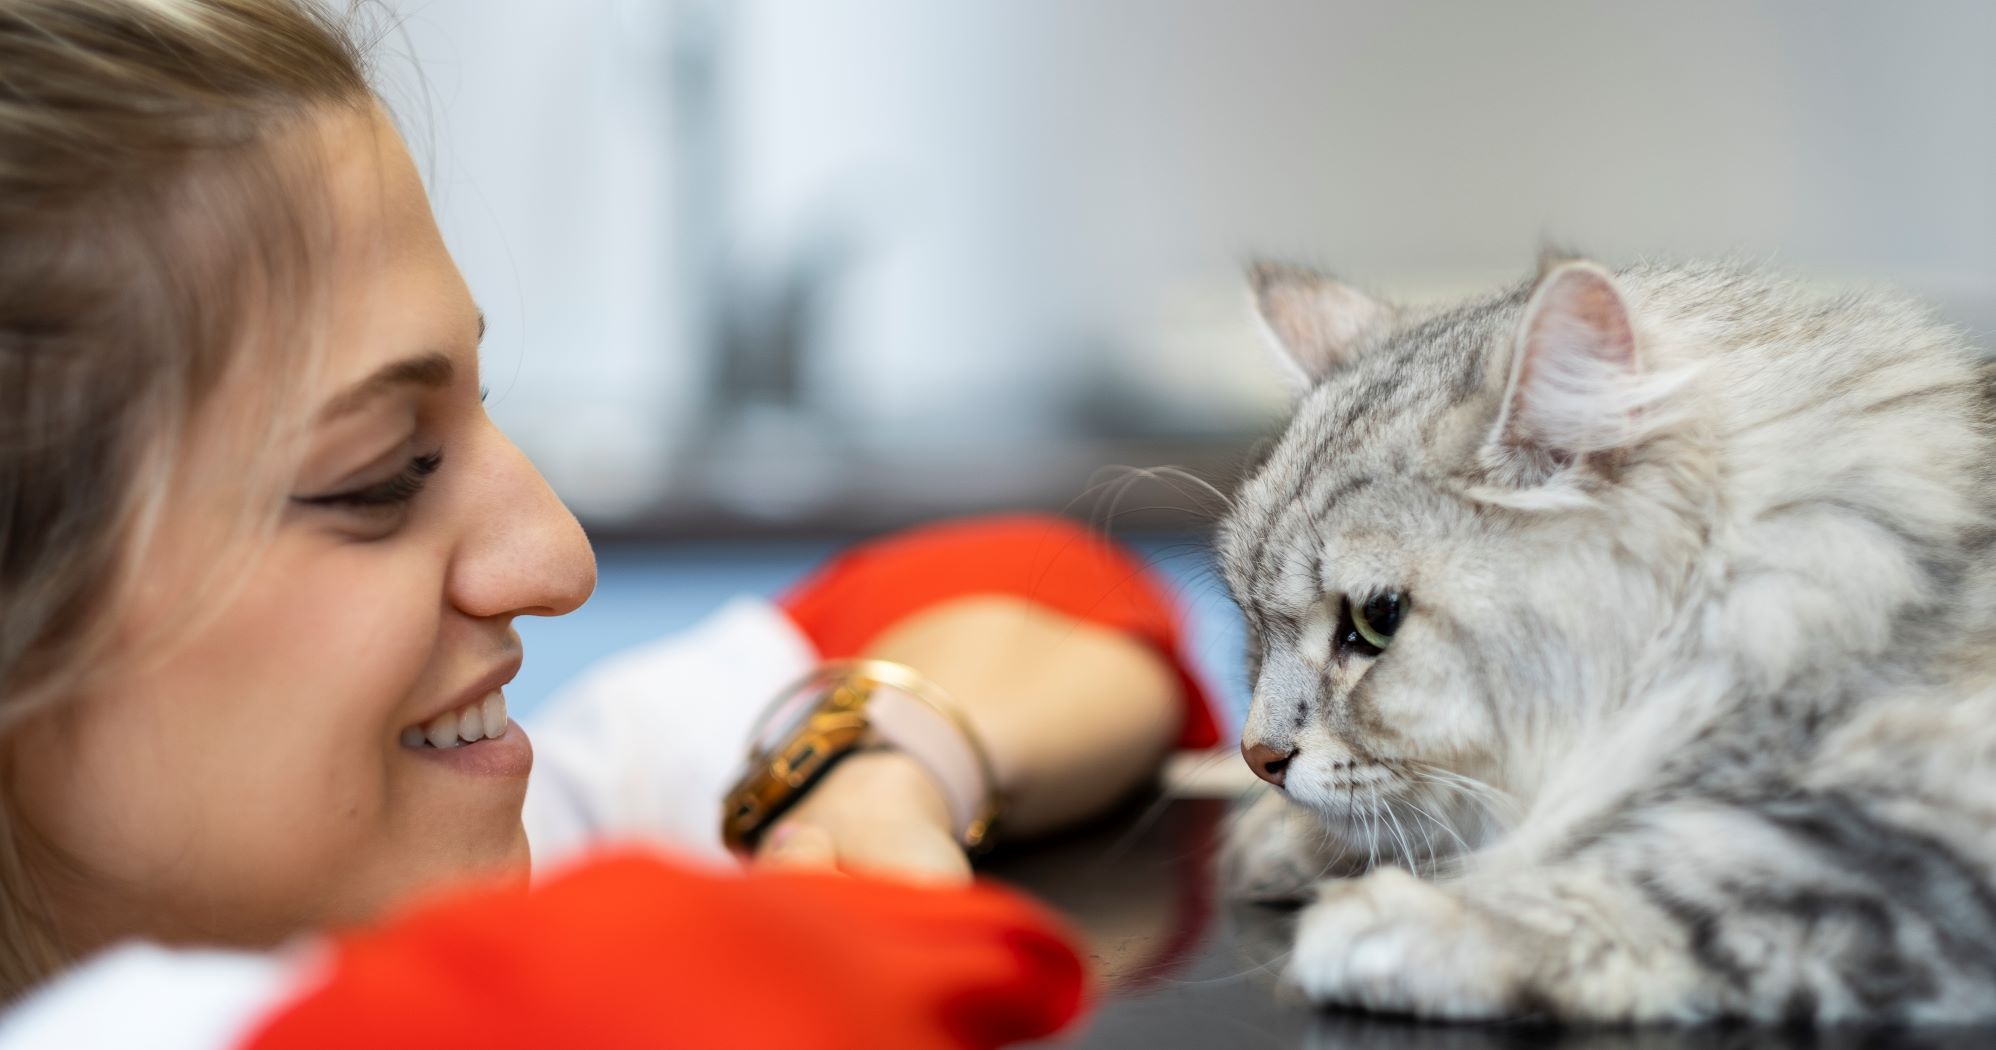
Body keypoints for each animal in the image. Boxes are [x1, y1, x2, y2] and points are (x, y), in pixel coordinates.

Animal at [1221, 255, 1996, 1030]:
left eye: (1378, 619)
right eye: (1254, 626)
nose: (1258, 759)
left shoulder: (1921, 829)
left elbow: (1688, 890)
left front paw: (1402, 920)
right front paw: (1280, 842)